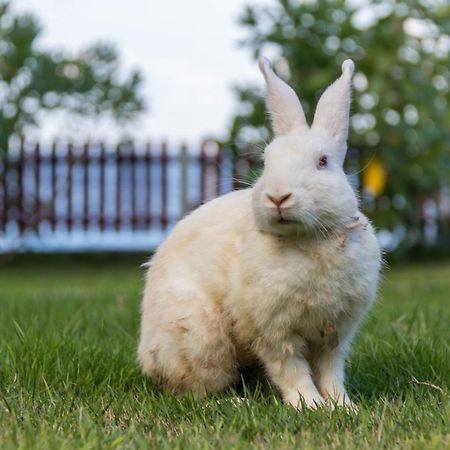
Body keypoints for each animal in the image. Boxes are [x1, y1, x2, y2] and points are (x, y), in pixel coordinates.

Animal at [137, 56, 380, 408]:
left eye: (323, 162)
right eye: (266, 162)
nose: (278, 197)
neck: (309, 240)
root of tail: (146, 358)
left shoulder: (335, 334)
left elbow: (331, 373)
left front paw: (343, 407)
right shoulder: (273, 332)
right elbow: (291, 370)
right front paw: (310, 405)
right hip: (201, 340)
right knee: (198, 392)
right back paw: (236, 403)